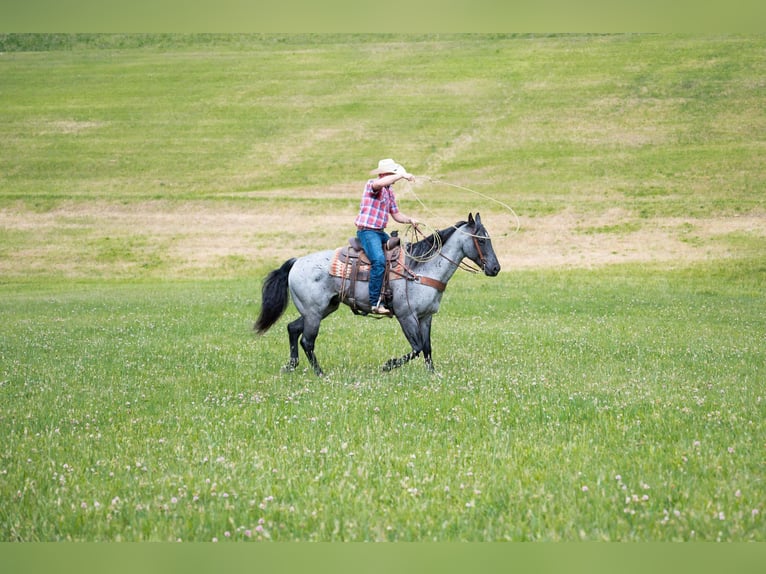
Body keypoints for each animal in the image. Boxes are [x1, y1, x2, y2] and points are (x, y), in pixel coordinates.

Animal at [255, 213, 500, 378]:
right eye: (480, 239)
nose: (495, 268)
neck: (421, 269)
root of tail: (296, 262)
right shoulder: (406, 315)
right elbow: (417, 347)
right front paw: (387, 365)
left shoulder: (426, 317)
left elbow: (427, 348)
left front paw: (433, 375)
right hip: (314, 312)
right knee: (307, 340)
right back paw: (320, 373)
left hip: (324, 308)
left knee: (293, 329)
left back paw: (291, 366)